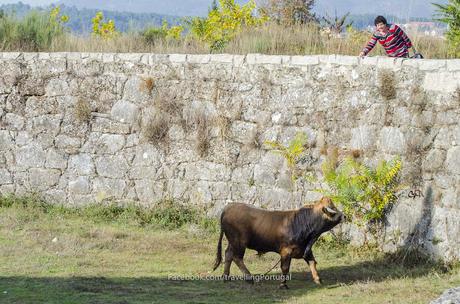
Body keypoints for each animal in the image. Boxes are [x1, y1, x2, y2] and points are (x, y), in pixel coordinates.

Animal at [211, 196, 342, 288]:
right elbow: (285, 268)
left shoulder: (306, 249)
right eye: (333, 210)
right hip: (239, 242)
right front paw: (283, 284)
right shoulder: (286, 251)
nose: (343, 216)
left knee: (228, 254)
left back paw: (226, 277)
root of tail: (229, 207)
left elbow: (312, 262)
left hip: (232, 241)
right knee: (237, 258)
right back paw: (249, 278)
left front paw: (318, 279)